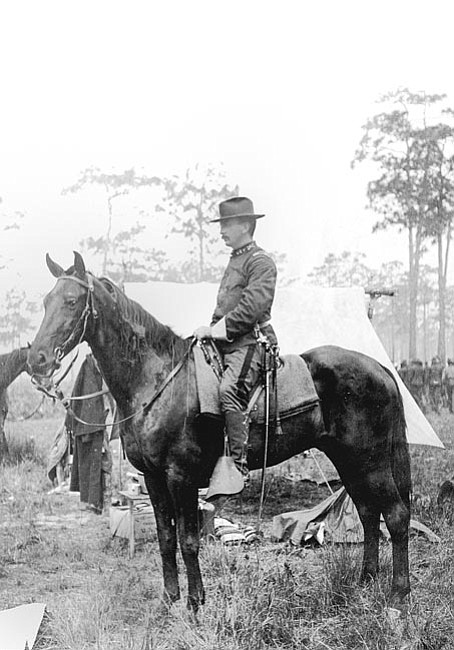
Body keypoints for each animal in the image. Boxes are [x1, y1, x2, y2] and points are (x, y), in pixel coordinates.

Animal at [28, 252, 412, 608]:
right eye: (46, 301)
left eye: (71, 301)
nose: (38, 359)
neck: (157, 379)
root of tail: (380, 367)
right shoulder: (153, 478)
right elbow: (165, 538)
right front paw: (169, 599)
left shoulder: (180, 477)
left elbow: (187, 540)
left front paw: (195, 603)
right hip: (349, 460)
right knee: (367, 514)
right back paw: (364, 581)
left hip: (371, 463)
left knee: (395, 515)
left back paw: (398, 594)